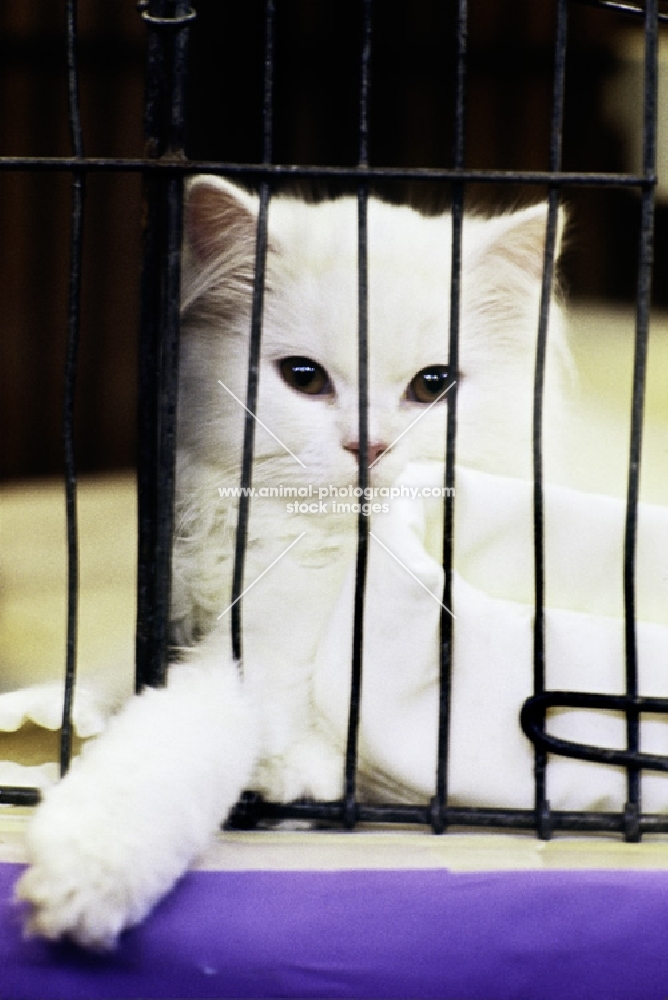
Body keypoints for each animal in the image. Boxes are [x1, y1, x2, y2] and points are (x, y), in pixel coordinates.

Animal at [14, 176, 568, 948]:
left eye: (433, 386)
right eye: (303, 378)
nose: (369, 447)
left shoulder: (255, 662)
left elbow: (164, 751)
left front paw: (79, 881)